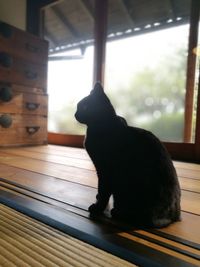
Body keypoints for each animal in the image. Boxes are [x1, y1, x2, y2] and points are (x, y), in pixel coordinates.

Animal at [75, 82, 181, 228]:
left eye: (84, 106)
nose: (75, 114)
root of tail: (175, 217)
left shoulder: (104, 171)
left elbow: (103, 191)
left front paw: (97, 208)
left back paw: (118, 212)